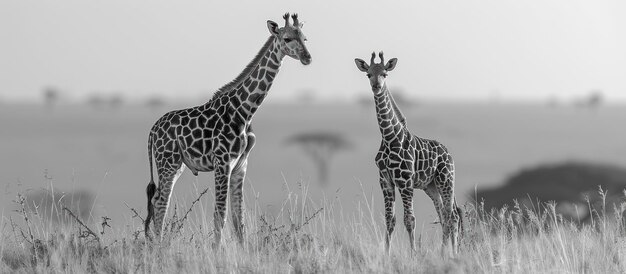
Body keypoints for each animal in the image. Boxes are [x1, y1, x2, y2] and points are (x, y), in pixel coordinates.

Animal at [146, 13, 312, 246]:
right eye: (287, 38)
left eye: (305, 38)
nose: (308, 57)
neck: (245, 111)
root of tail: (152, 131)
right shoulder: (222, 162)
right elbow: (220, 214)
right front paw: (216, 251)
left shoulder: (241, 165)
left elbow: (238, 218)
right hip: (167, 163)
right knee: (161, 203)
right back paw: (159, 248)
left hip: (176, 165)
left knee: (157, 200)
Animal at [354, 52, 460, 255]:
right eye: (368, 74)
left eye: (385, 74)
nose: (376, 87)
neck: (389, 137)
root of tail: (448, 153)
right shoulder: (385, 181)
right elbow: (390, 220)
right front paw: (386, 255)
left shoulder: (405, 181)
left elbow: (409, 219)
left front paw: (414, 254)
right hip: (431, 186)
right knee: (444, 216)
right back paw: (443, 253)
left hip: (446, 180)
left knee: (452, 216)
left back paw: (453, 253)